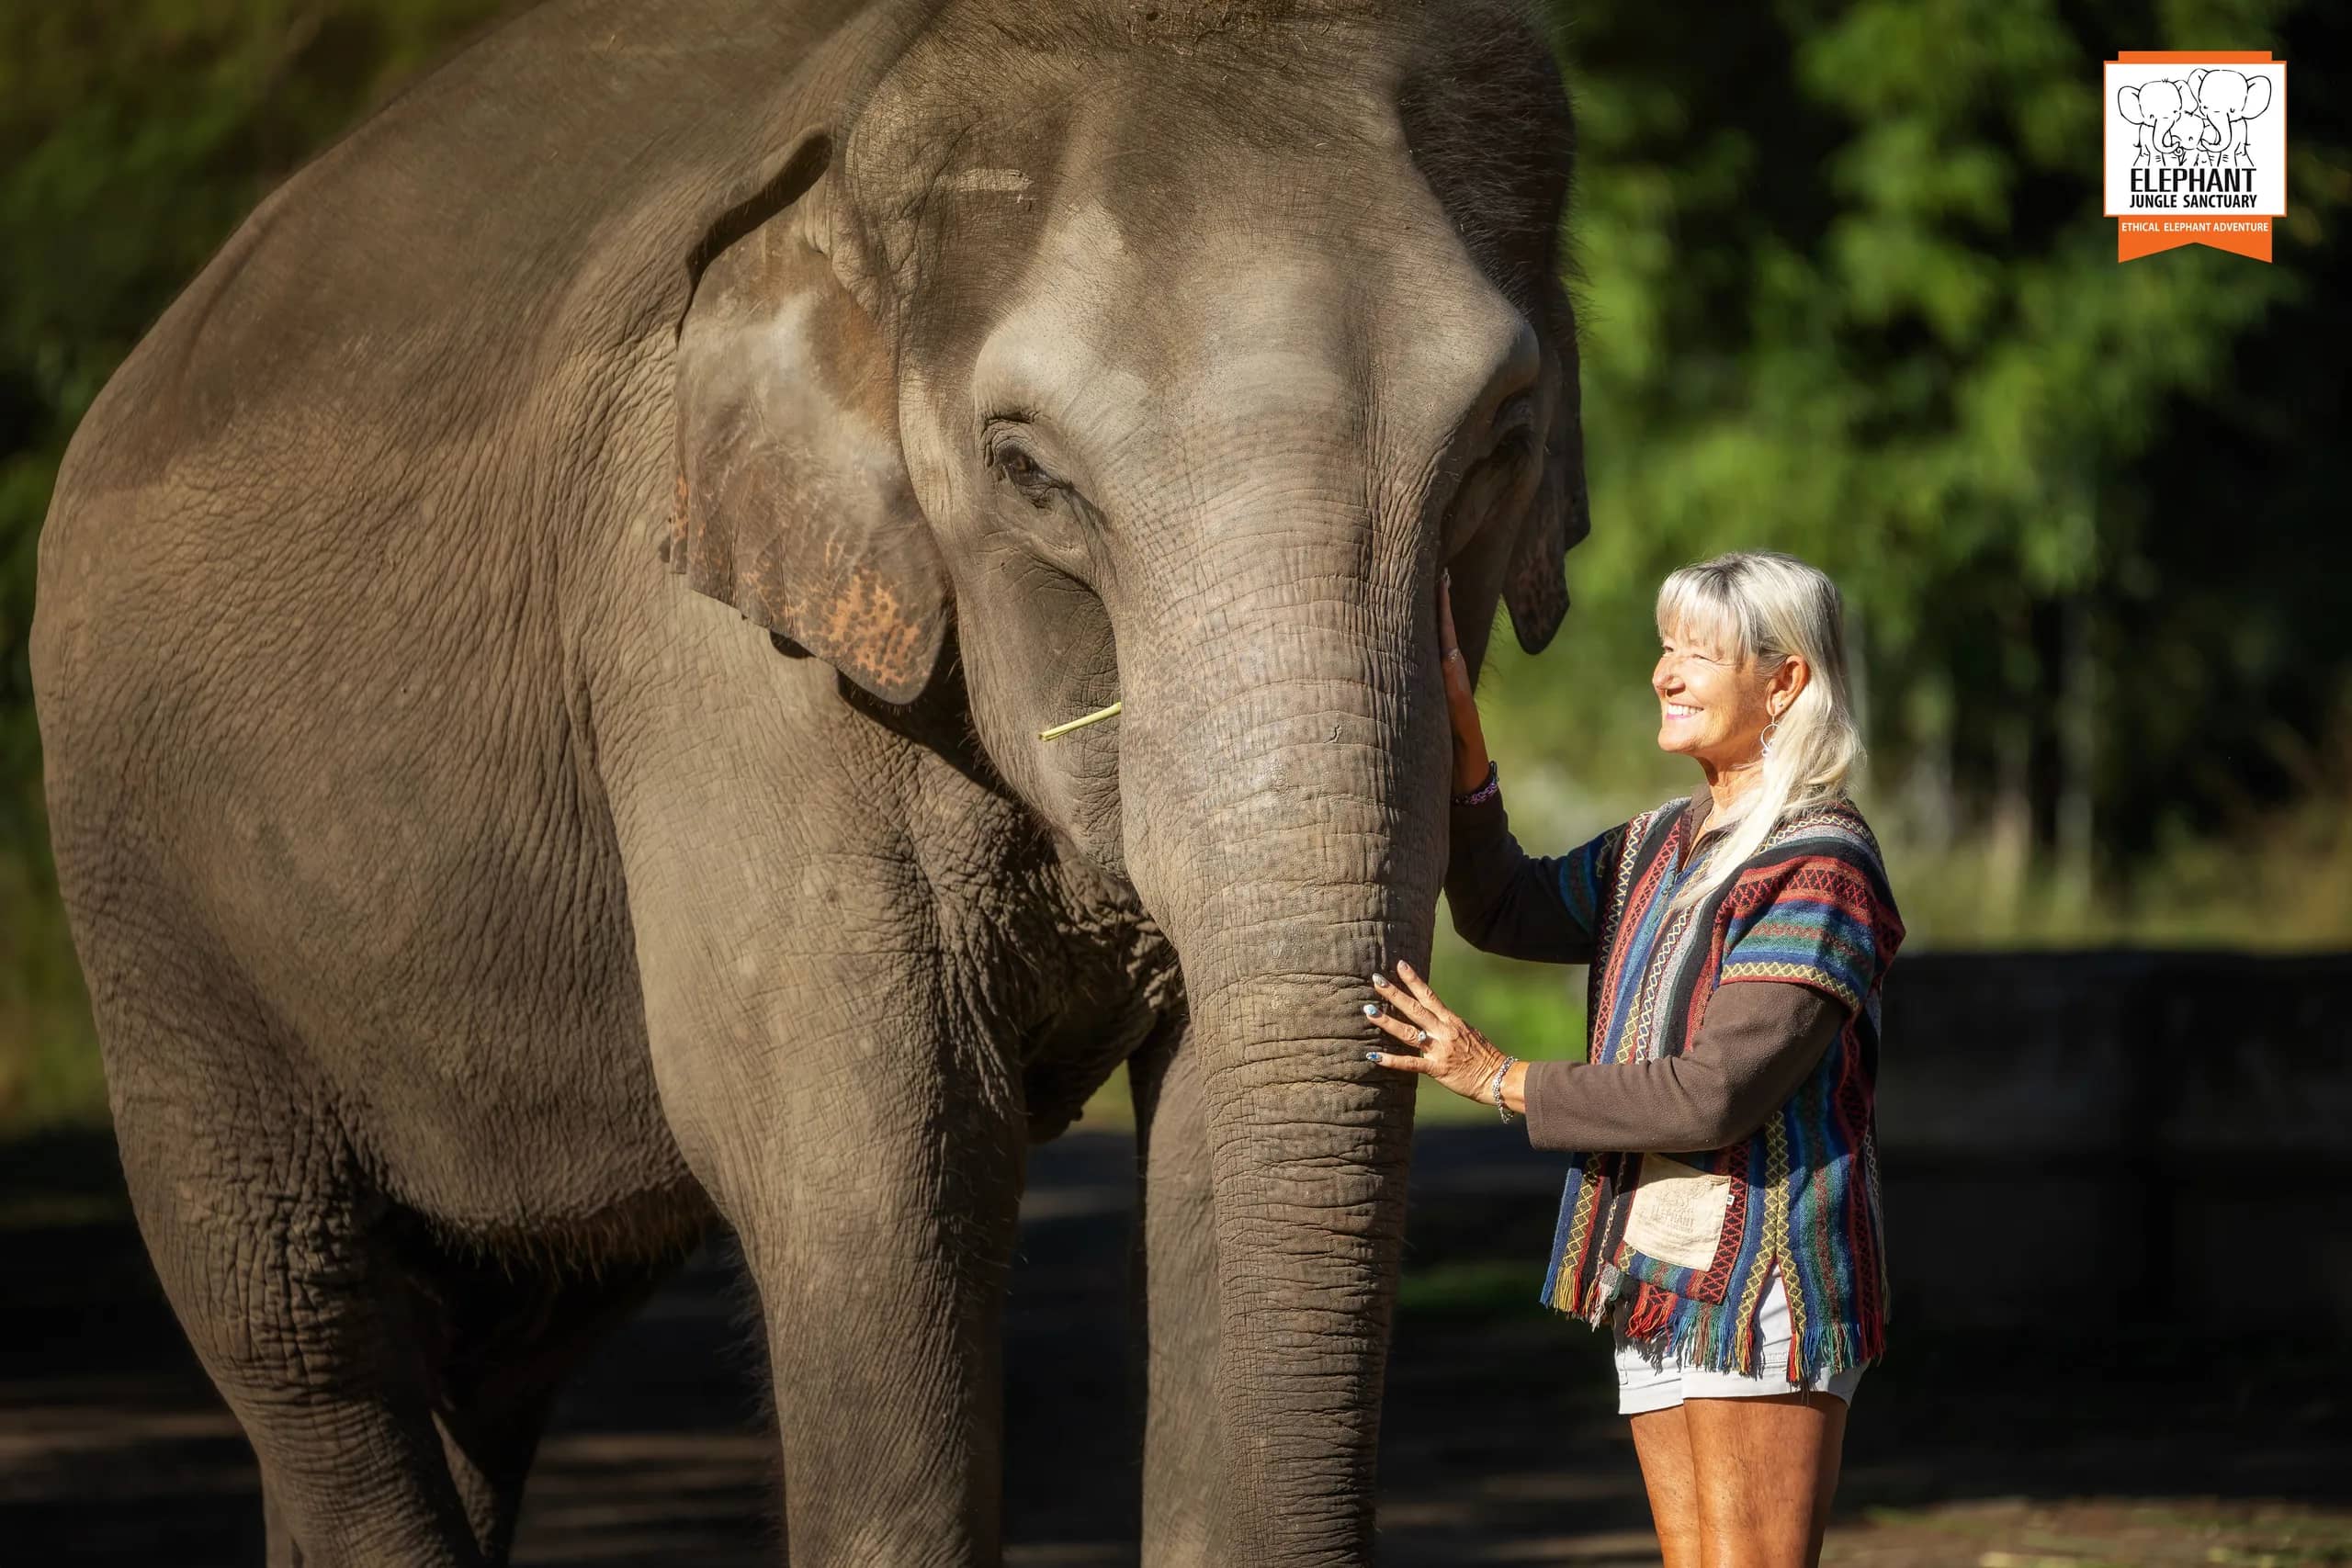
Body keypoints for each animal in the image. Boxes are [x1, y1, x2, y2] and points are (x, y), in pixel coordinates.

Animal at [27, 0, 1588, 1563]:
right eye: (1028, 469)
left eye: (1504, 440)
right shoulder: (703, 657)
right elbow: (872, 1173)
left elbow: (1218, 1119)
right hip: (141, 880)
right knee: (285, 1305)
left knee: (491, 1337)